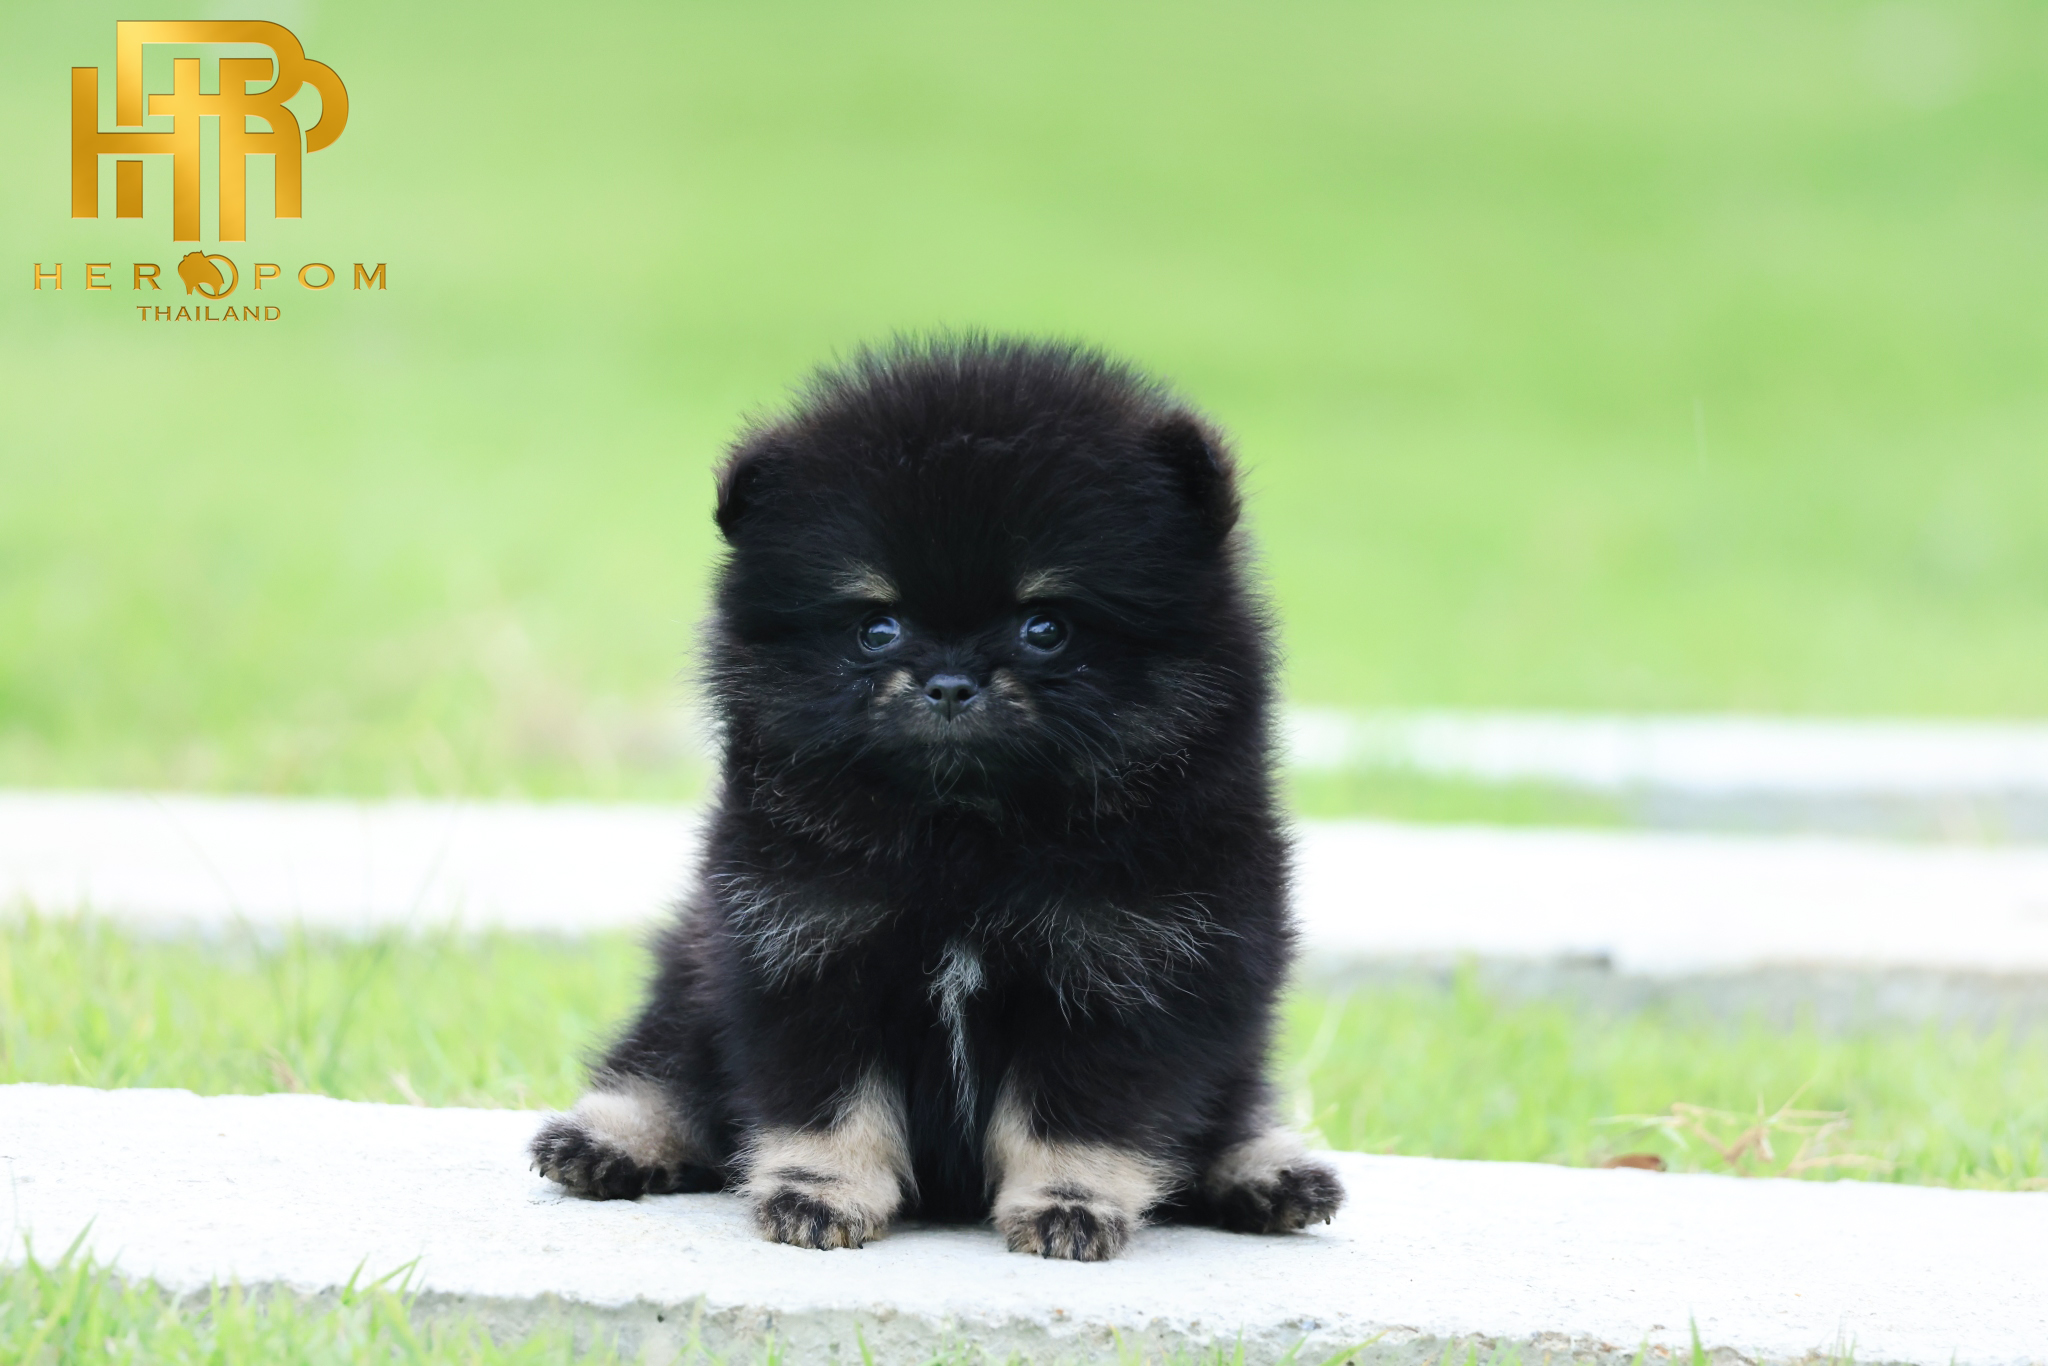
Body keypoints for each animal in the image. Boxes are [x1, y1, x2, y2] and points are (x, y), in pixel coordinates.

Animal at [531, 335, 1343, 1259]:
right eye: (875, 627)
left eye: (1045, 626)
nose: (950, 682)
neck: (965, 831)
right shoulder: (804, 947)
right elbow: (827, 1101)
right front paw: (821, 1192)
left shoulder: (1131, 972)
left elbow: (1084, 1115)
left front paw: (1069, 1203)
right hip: (694, 966)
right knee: (667, 1061)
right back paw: (609, 1138)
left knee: (1232, 1108)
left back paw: (1269, 1172)